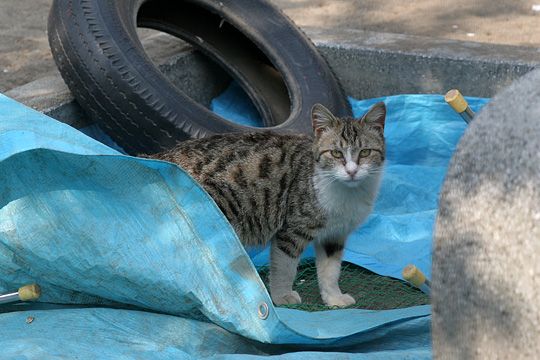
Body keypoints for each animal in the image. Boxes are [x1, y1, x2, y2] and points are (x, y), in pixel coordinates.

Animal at [146, 102, 386, 306]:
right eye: (336, 153)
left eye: (365, 152)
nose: (352, 171)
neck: (347, 195)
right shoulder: (291, 230)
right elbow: (285, 267)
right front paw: (282, 297)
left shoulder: (335, 235)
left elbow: (330, 270)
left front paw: (333, 298)